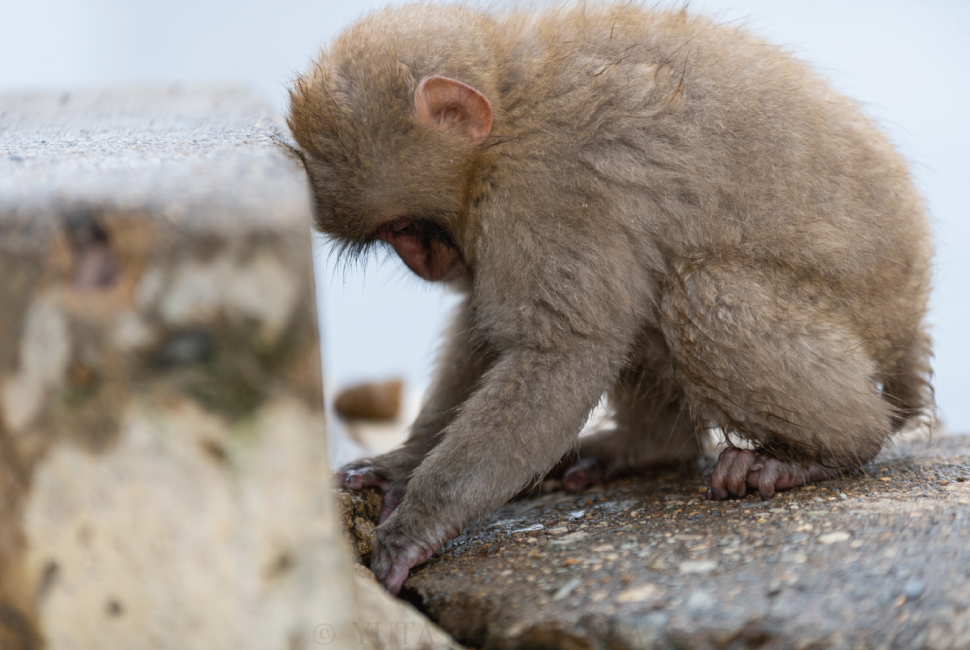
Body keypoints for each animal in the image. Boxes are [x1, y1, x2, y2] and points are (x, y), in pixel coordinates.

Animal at [288, 2, 932, 592]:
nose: (419, 261)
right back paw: (650, 447)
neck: (507, 106)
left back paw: (824, 451)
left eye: (404, 228)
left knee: (700, 293)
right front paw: (401, 465)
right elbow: (486, 328)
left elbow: (564, 351)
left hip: (864, 325)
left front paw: (414, 526)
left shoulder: (545, 190)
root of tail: (911, 322)